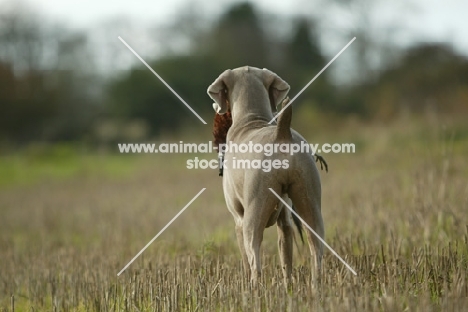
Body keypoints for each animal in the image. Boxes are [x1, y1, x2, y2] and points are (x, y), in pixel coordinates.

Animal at [207, 66, 322, 286]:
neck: (251, 119)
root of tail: (282, 134)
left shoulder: (238, 219)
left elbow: (246, 260)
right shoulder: (285, 220)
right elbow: (286, 260)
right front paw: (288, 287)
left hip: (254, 212)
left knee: (255, 260)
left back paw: (253, 288)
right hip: (310, 202)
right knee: (316, 249)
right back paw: (316, 286)